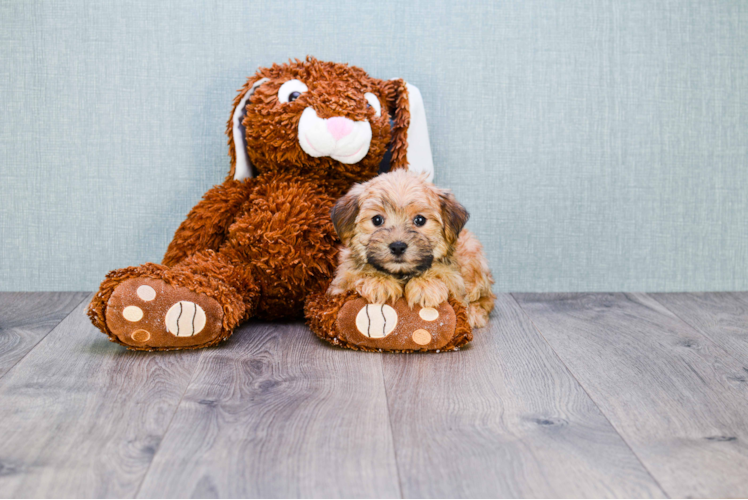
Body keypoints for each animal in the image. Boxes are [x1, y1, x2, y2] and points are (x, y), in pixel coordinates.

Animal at [328, 170, 494, 330]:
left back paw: (474, 314)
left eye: (420, 220)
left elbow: (444, 277)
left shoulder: (454, 278)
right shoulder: (340, 283)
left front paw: (425, 284)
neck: (401, 273)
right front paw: (379, 282)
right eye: (377, 220)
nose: (398, 246)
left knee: (485, 299)